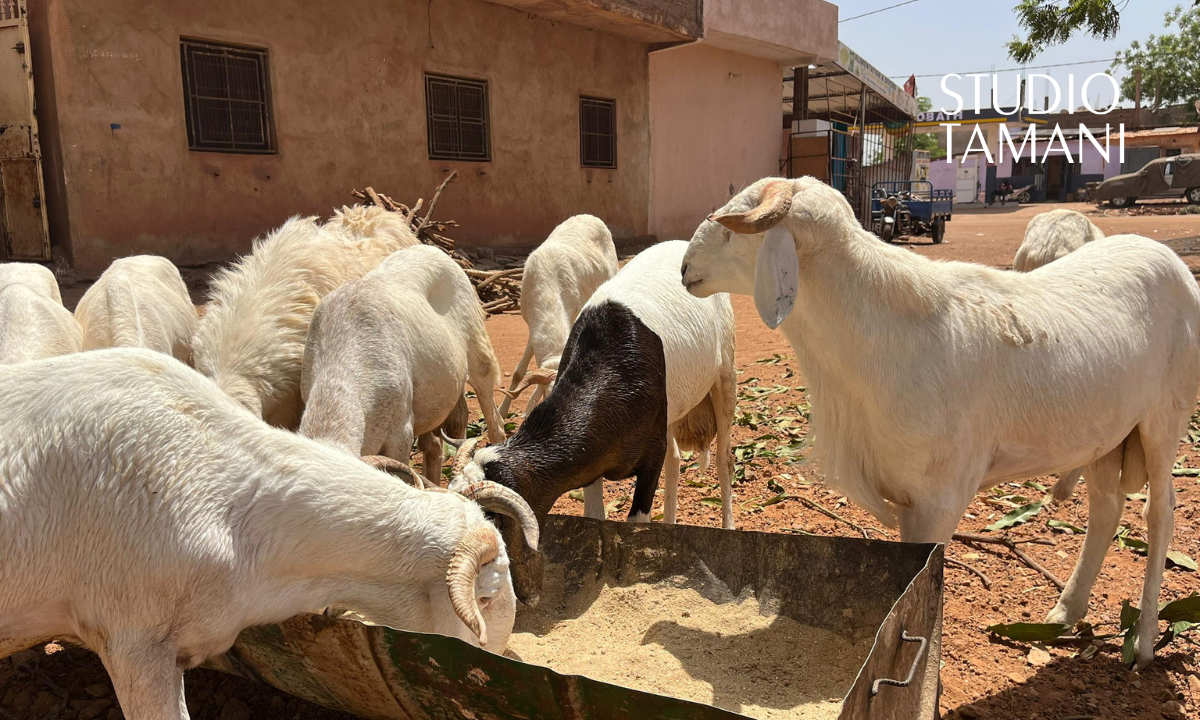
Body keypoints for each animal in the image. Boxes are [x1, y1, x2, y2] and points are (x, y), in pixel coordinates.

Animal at [449, 240, 736, 605]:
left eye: (491, 521)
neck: (611, 372)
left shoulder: (649, 456)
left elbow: (636, 521)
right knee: (675, 458)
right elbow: (595, 518)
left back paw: (727, 527)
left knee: (724, 459)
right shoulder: (593, 463)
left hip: (725, 372)